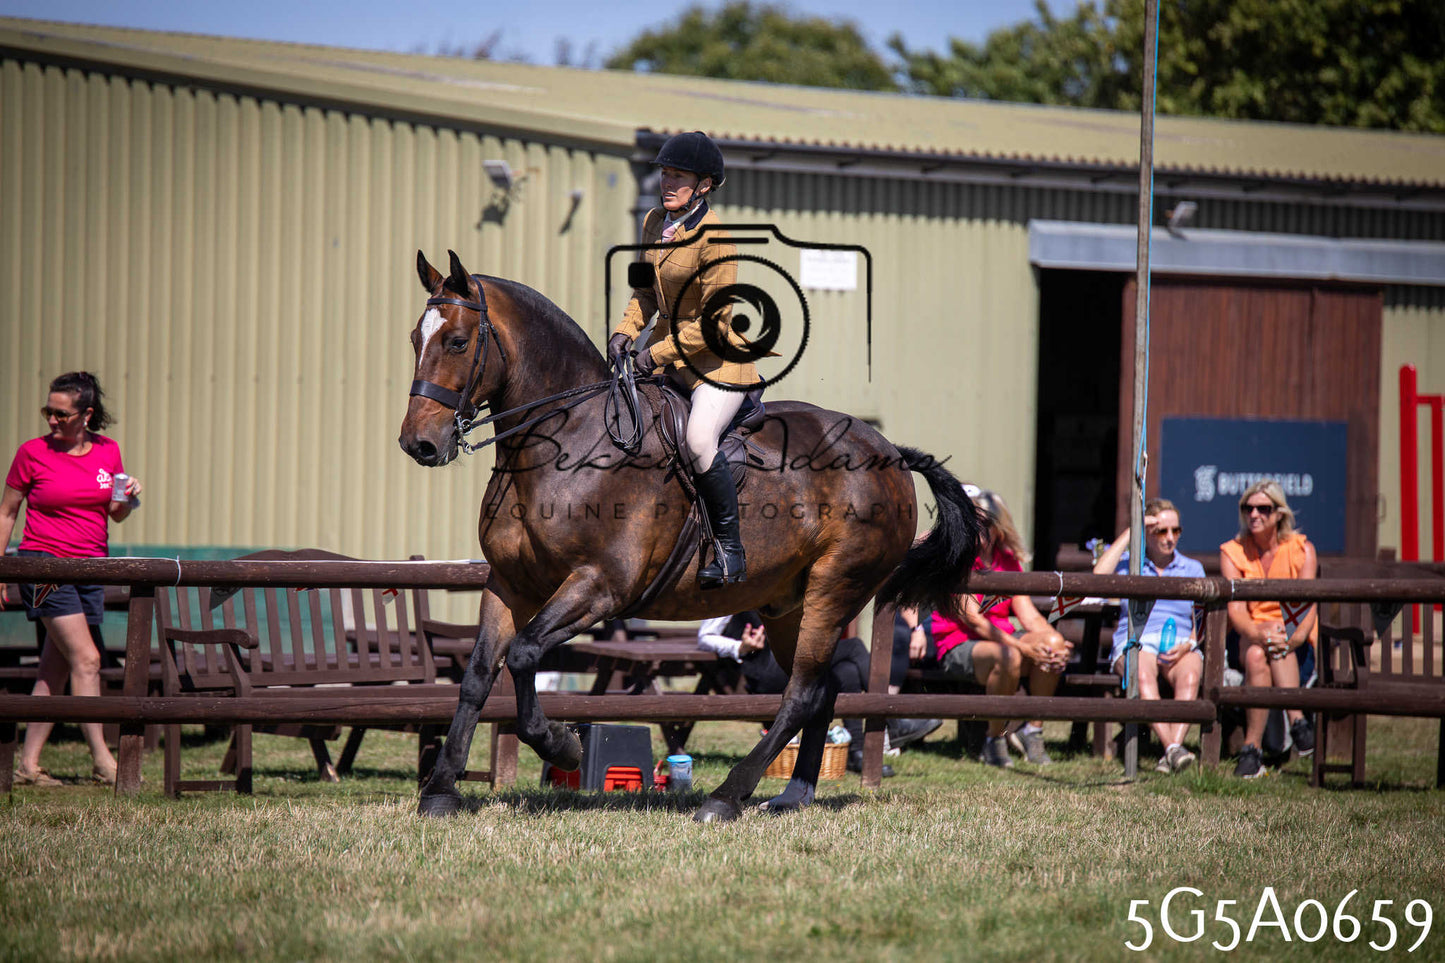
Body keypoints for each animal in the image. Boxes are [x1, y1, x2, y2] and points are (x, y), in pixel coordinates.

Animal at [398, 250, 982, 822]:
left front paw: (562, 745)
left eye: (457, 341)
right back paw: (793, 794)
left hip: (834, 589)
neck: (567, 442)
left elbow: (522, 654)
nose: (418, 445)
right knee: (822, 689)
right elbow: (478, 675)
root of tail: (890, 453)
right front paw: (441, 791)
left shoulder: (600, 585)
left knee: (800, 693)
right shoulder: (508, 583)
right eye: (413, 340)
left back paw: (726, 796)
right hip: (787, 605)